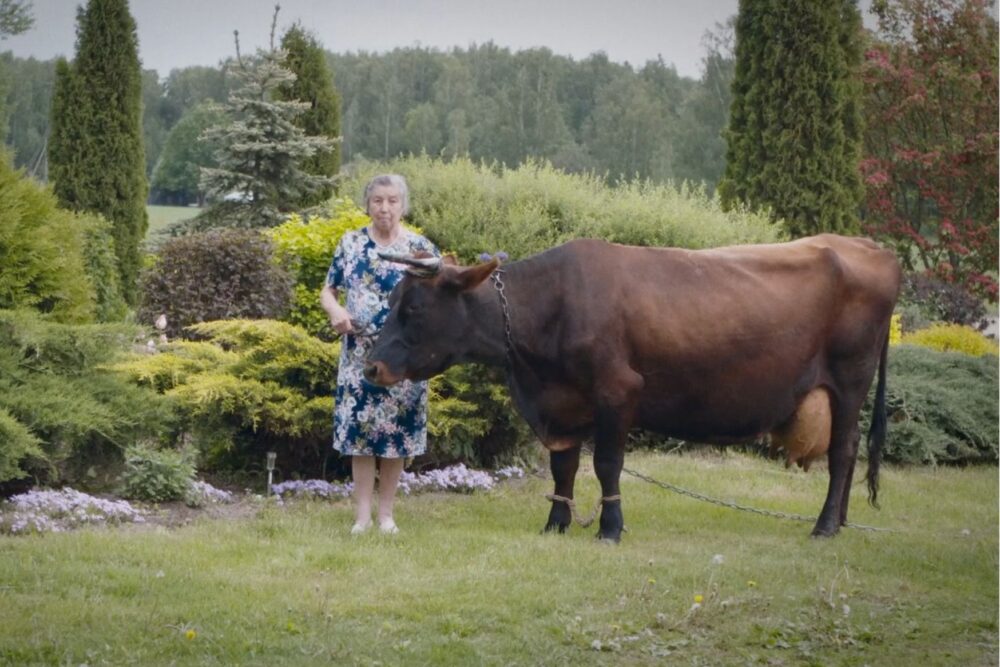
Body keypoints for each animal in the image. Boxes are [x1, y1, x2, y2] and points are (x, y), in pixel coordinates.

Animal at [364, 235, 904, 544]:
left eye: (413, 309)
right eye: (392, 302)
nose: (371, 367)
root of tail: (871, 247)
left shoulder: (617, 392)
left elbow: (606, 465)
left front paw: (610, 528)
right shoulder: (563, 404)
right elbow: (563, 468)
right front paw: (556, 524)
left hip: (850, 379)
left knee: (843, 450)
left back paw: (825, 526)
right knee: (848, 451)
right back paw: (841, 521)